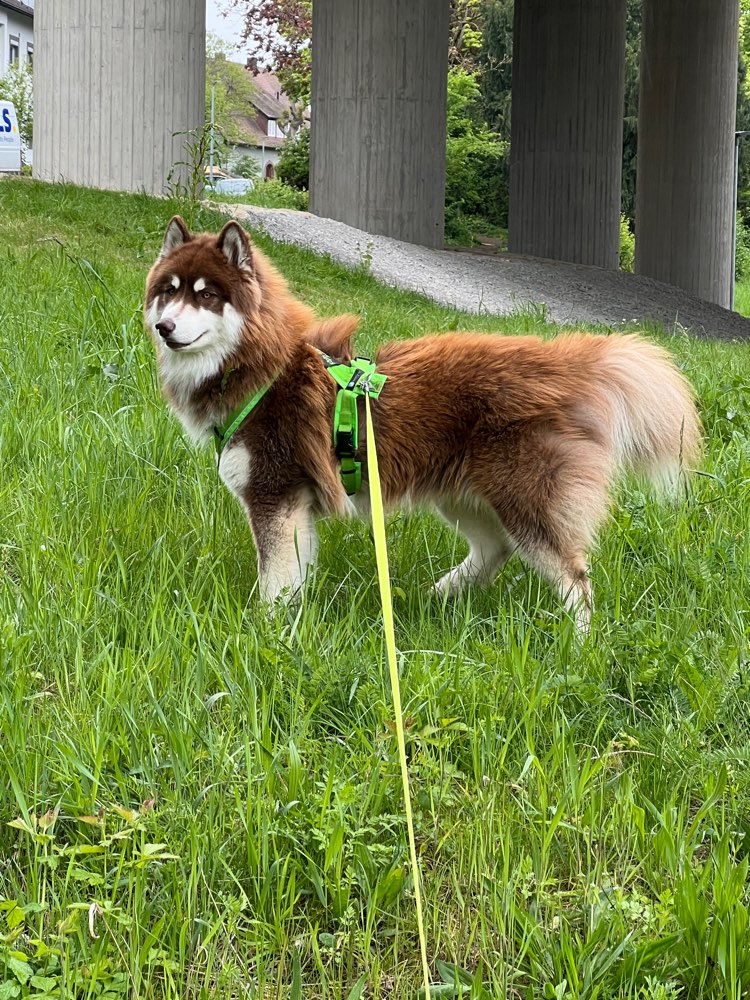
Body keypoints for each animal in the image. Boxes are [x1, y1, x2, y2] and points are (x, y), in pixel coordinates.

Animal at [144, 217, 704, 632]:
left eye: (206, 295)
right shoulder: (294, 506)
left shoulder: (275, 497)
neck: (262, 367)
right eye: (167, 292)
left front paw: (265, 632)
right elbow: (292, 578)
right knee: (496, 549)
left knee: (575, 579)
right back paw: (437, 595)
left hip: (523, 500)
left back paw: (579, 644)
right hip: (463, 495)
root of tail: (564, 361)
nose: (164, 327)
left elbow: (274, 581)